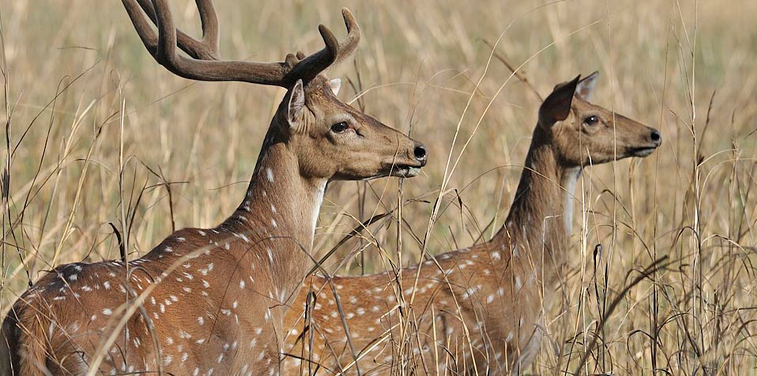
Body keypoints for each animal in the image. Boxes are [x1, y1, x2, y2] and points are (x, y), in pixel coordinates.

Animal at [1, 0, 426, 376]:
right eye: (340, 123)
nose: (417, 150)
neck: (270, 271)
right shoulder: (254, 361)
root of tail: (31, 323)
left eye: (351, 105)